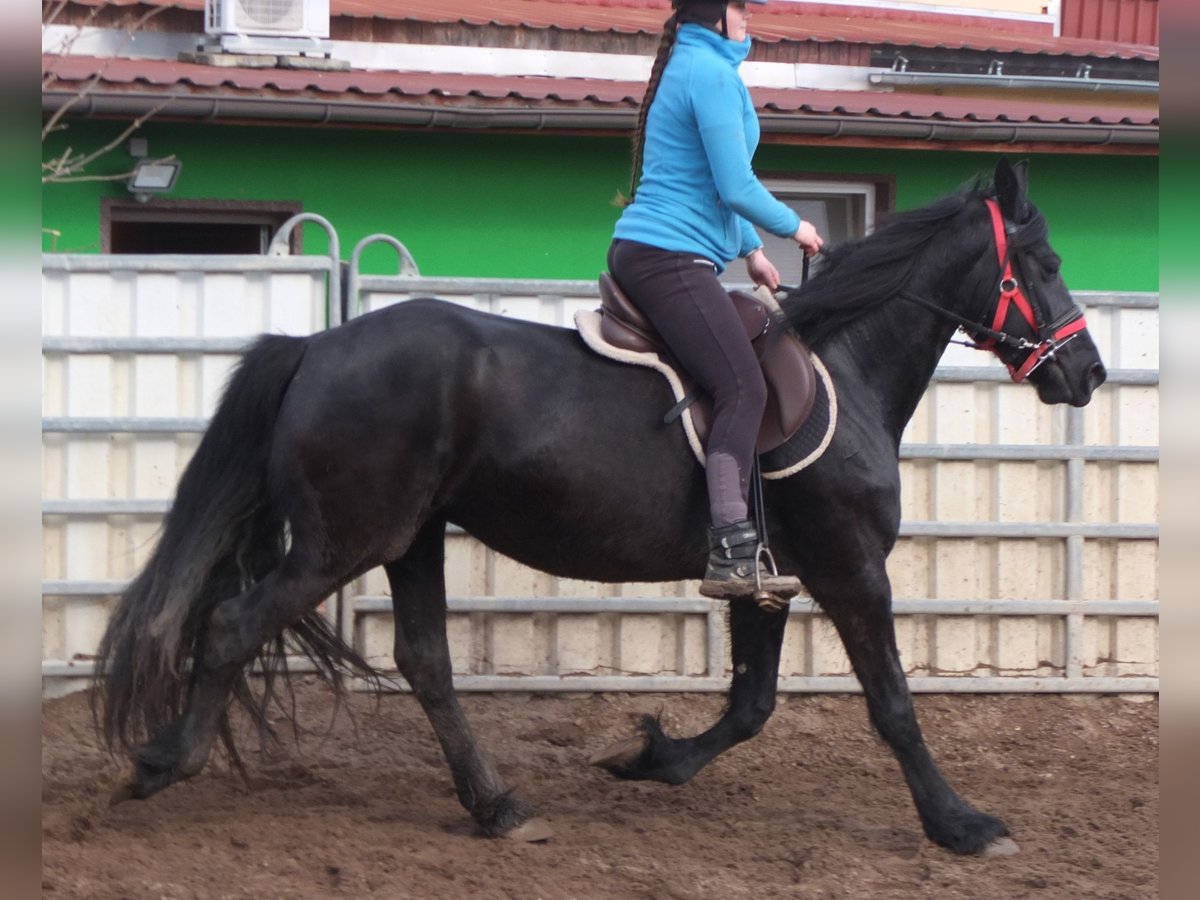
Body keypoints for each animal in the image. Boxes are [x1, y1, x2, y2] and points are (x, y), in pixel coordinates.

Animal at [96, 158, 1104, 854]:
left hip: (411, 538)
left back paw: (498, 807)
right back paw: (161, 764)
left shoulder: (768, 578)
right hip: (342, 542)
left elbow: (752, 704)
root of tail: (315, 345)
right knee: (233, 624)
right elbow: (892, 703)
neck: (841, 368)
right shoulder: (851, 568)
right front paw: (962, 824)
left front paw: (651, 759)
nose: (1087, 373)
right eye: (1048, 261)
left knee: (425, 663)